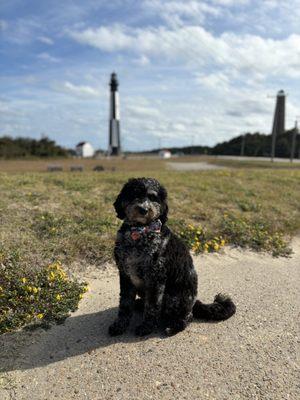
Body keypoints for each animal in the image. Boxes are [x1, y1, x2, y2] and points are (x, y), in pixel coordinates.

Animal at [109, 177, 236, 336]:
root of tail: (194, 303)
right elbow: (125, 304)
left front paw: (146, 327)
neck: (139, 232)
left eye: (153, 197)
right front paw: (120, 325)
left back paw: (175, 326)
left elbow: (152, 307)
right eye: (135, 194)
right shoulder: (125, 275)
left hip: (173, 298)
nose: (143, 210)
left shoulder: (156, 279)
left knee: (187, 317)